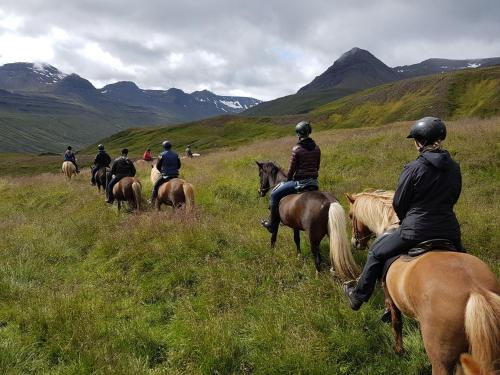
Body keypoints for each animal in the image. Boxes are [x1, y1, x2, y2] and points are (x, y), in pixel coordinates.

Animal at [344, 191, 500, 375]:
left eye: (351, 215)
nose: (355, 243)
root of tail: (477, 291)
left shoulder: (390, 297)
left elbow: (396, 323)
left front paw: (399, 351)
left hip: (441, 361)